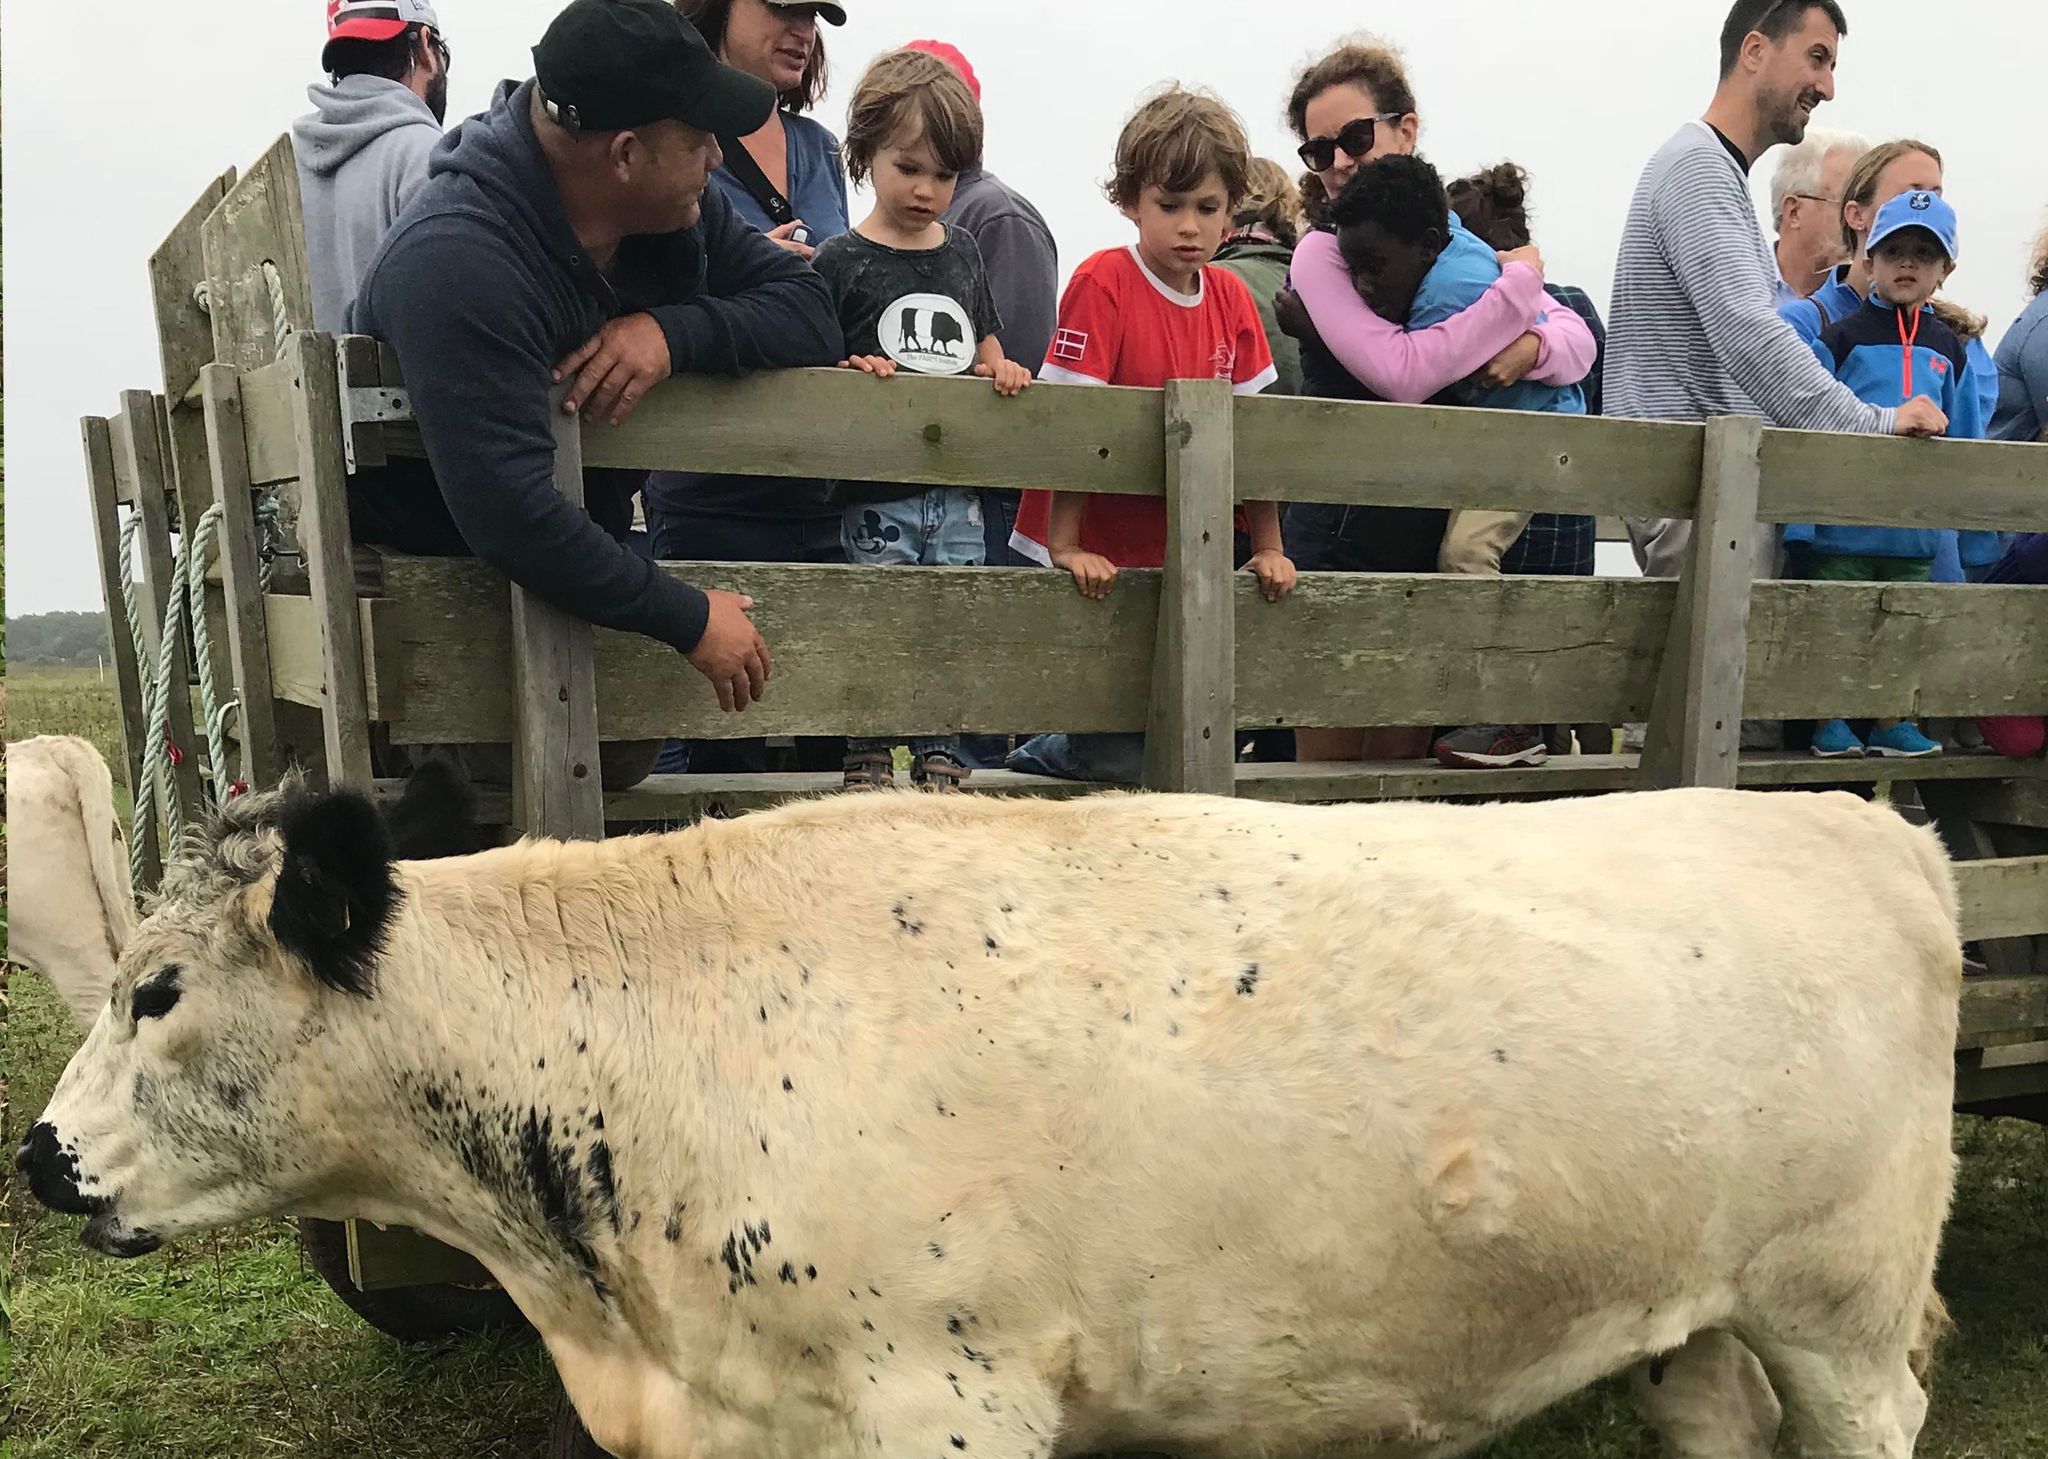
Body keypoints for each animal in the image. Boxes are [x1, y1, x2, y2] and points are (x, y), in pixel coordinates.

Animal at [24, 786, 1957, 1459]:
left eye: (158, 987)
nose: (37, 1155)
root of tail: (1869, 820)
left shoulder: (943, 1393)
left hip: (1843, 1308)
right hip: (1698, 1301)